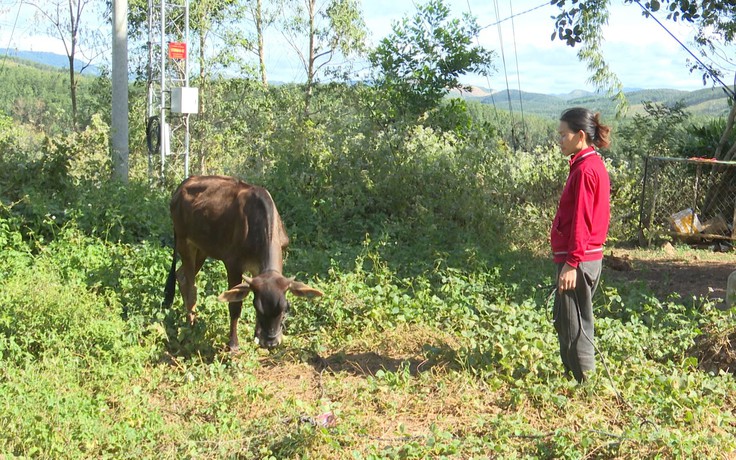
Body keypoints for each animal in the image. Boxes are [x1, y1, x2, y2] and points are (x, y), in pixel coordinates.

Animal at [162, 175, 324, 348]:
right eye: (257, 307)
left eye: (286, 308)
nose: (271, 342)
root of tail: (182, 186)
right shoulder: (233, 264)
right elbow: (235, 305)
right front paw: (233, 343)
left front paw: (257, 335)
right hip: (184, 242)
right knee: (191, 287)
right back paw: (191, 326)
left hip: (202, 248)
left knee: (181, 276)